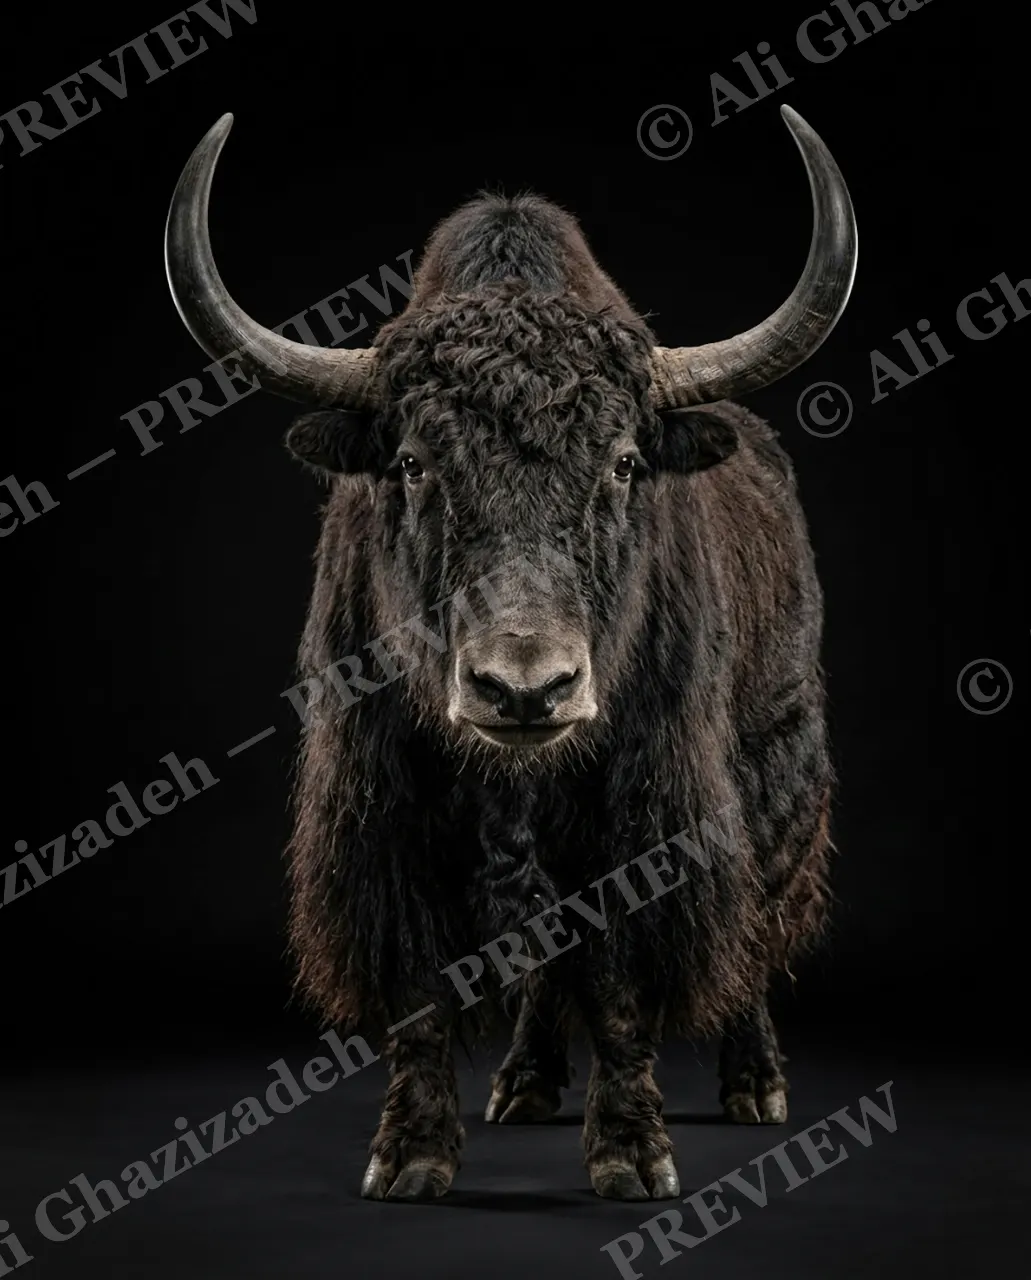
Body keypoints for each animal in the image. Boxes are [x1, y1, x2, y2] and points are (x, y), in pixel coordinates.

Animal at [165, 104, 856, 1202]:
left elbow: (617, 974)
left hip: (775, 763)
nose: (525, 688)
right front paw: (408, 1157)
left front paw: (633, 1156)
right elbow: (422, 985)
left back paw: (755, 1085)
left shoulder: (636, 813)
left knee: (752, 925)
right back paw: (524, 1084)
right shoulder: (390, 819)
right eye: (412, 463)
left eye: (623, 462)